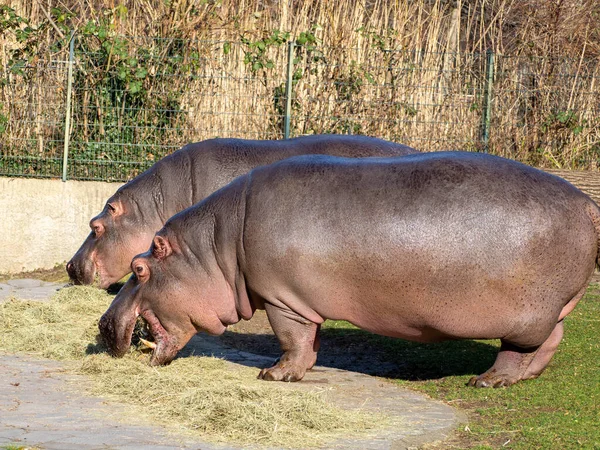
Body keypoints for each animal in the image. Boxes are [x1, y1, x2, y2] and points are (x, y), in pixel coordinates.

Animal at [98, 151, 600, 386]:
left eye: (139, 269)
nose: (102, 324)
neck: (215, 249)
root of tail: (587, 203)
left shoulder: (282, 299)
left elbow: (291, 339)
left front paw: (273, 376)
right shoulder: (302, 299)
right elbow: (310, 342)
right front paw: (298, 371)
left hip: (523, 316)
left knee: (519, 348)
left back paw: (488, 380)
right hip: (551, 308)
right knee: (550, 340)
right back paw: (522, 378)